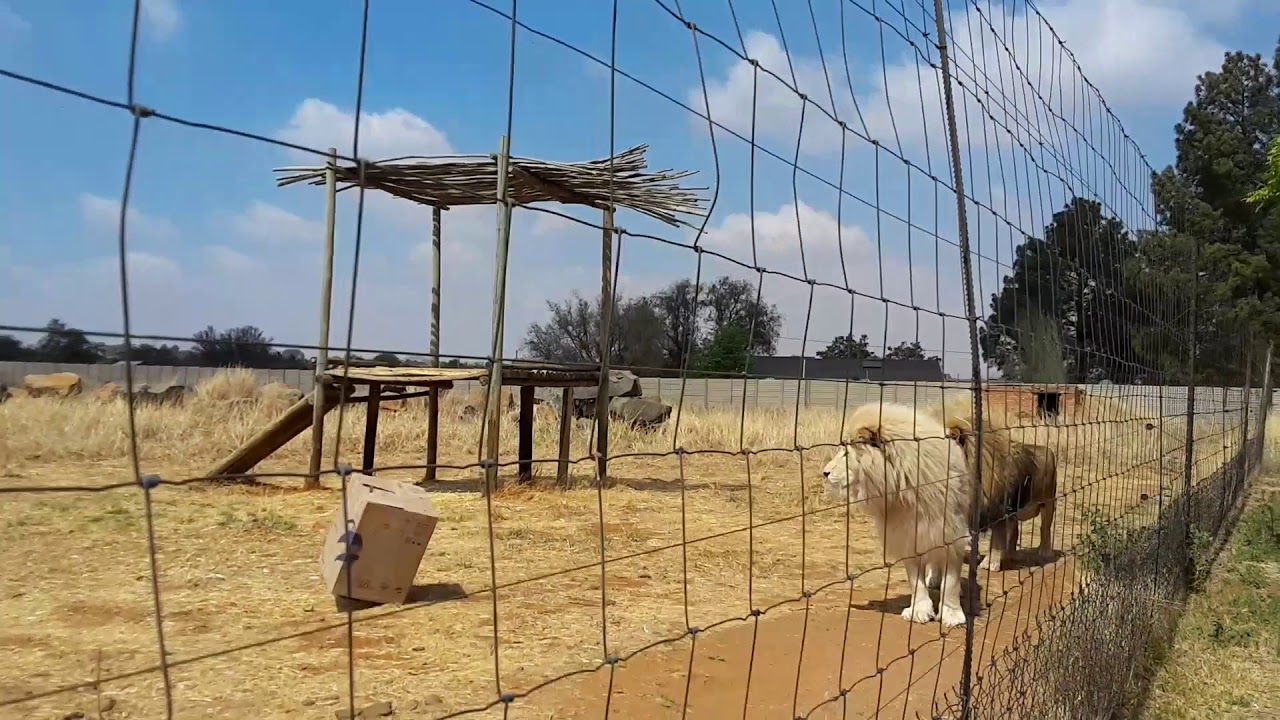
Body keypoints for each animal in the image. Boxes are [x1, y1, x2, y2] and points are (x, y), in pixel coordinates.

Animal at [822, 402, 974, 628]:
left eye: (846, 454)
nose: (824, 472)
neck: (902, 489)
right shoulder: (907, 536)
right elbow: (916, 581)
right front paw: (919, 611)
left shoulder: (951, 532)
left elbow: (951, 582)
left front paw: (952, 615)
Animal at [926, 397, 1059, 572]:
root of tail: (1049, 451)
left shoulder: (998, 511)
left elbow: (996, 540)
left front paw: (990, 564)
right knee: (1014, 532)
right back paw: (1010, 555)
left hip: (1048, 502)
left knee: (1045, 528)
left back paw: (1045, 552)